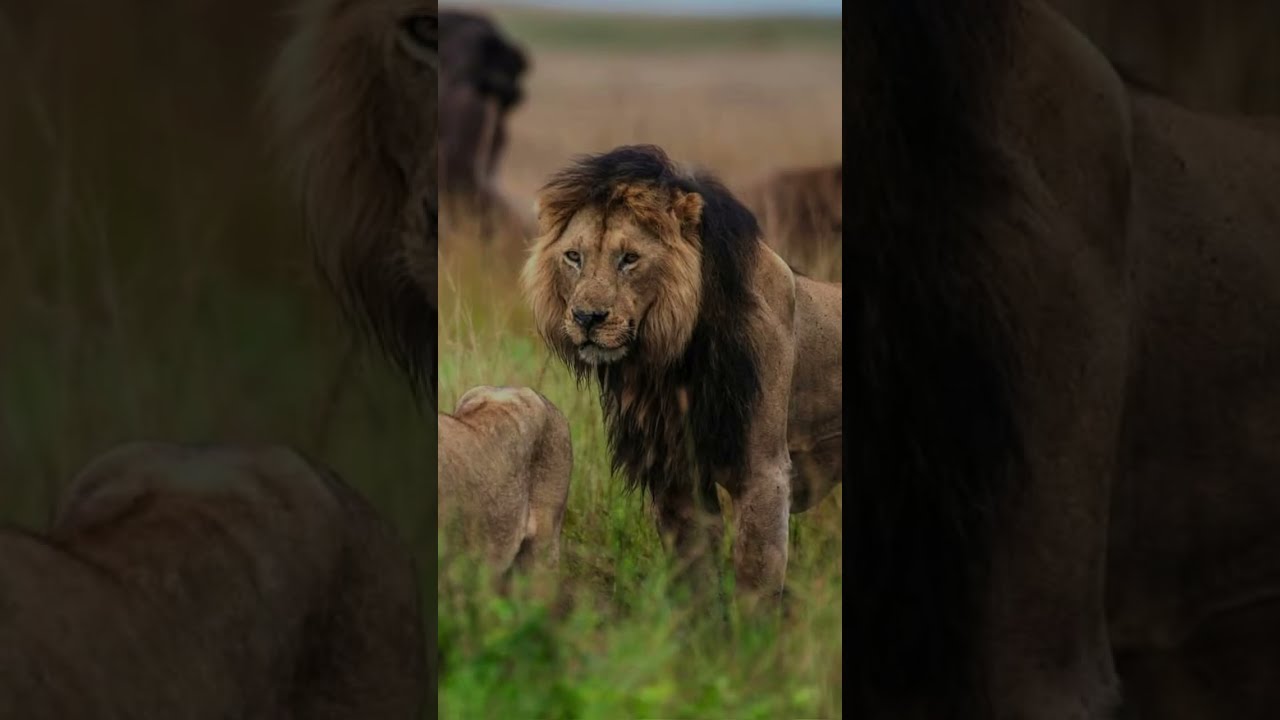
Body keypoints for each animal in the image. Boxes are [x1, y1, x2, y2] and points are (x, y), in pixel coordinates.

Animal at [520, 144, 843, 607]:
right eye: (573, 257)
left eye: (629, 259)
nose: (586, 318)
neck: (672, 359)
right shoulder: (675, 471)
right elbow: (694, 571)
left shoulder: (763, 470)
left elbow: (756, 575)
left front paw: (750, 628)